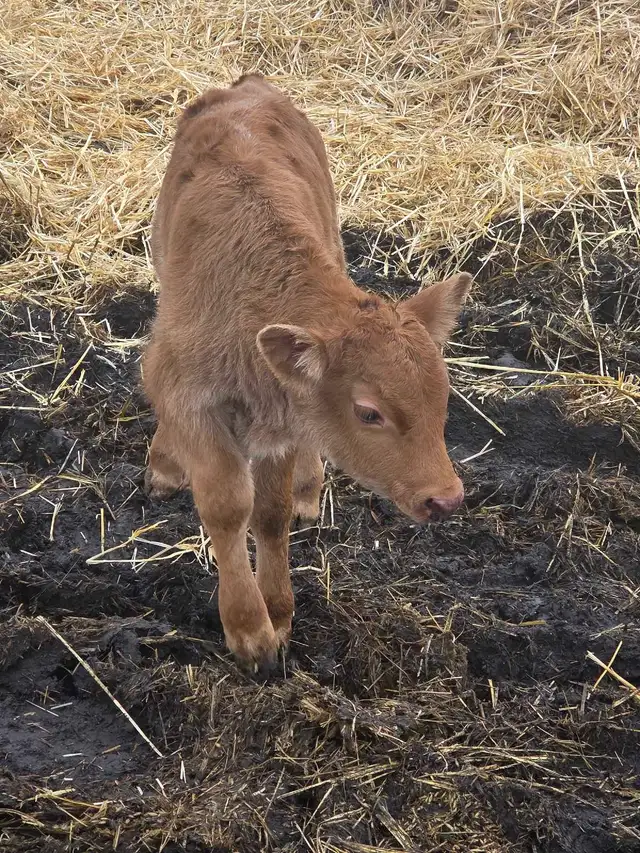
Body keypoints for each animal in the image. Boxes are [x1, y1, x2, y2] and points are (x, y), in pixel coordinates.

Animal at [142, 74, 471, 673]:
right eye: (369, 413)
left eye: (443, 398)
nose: (446, 500)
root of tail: (248, 87)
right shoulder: (190, 398)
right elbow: (227, 507)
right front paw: (250, 633)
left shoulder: (284, 423)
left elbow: (268, 514)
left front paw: (278, 614)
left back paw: (306, 488)